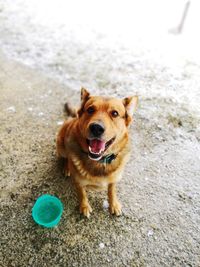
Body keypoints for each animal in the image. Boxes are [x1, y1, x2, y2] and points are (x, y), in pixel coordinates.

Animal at [56, 88, 138, 218]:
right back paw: (67, 167)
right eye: (90, 109)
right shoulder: (78, 183)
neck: (100, 160)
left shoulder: (113, 180)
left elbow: (111, 191)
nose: (96, 128)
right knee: (65, 158)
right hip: (61, 146)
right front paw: (84, 207)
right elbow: (82, 195)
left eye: (115, 113)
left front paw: (113, 204)